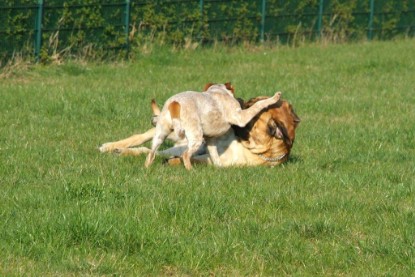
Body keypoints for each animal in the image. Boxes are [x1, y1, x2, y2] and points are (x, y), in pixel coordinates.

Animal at [144, 82, 282, 168]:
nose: (241, 99)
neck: (218, 90)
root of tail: (175, 103)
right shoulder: (241, 117)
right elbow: (258, 105)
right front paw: (274, 98)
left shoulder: (210, 140)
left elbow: (214, 155)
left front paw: (219, 167)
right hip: (195, 136)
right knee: (185, 155)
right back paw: (191, 170)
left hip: (160, 133)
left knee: (151, 153)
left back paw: (147, 168)